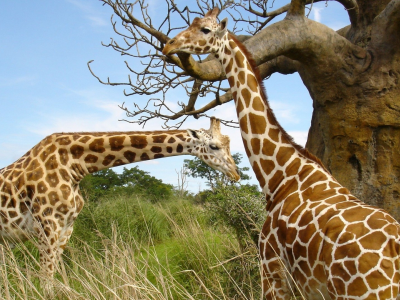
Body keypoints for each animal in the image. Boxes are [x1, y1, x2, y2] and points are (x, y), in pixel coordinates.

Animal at [0, 116, 238, 286]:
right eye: (215, 146)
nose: (236, 174)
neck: (74, 165)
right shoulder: (47, 226)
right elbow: (45, 281)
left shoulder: (66, 228)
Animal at [162, 7, 400, 300]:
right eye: (192, 22)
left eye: (205, 29)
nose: (169, 45)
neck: (281, 175)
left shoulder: (271, 267)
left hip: (361, 292)